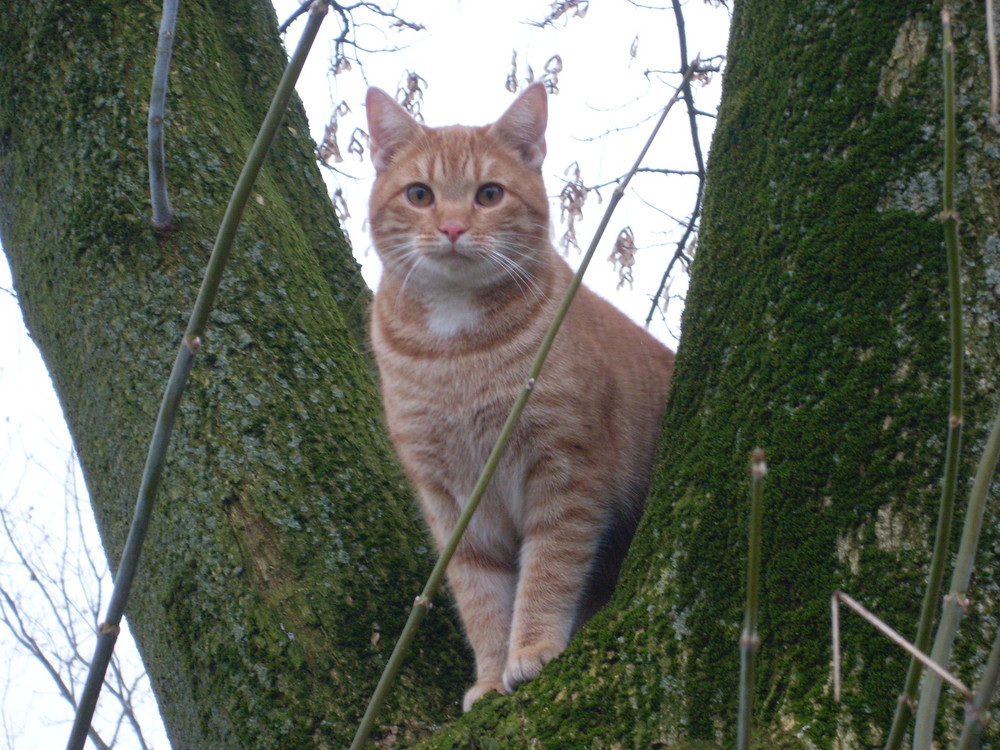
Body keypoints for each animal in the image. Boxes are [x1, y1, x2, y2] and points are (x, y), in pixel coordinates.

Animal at [366, 82, 672, 712]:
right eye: (419, 195)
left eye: (489, 195)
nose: (452, 228)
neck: (457, 358)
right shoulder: (452, 502)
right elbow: (480, 596)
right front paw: (489, 676)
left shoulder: (564, 472)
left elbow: (548, 569)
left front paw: (531, 648)